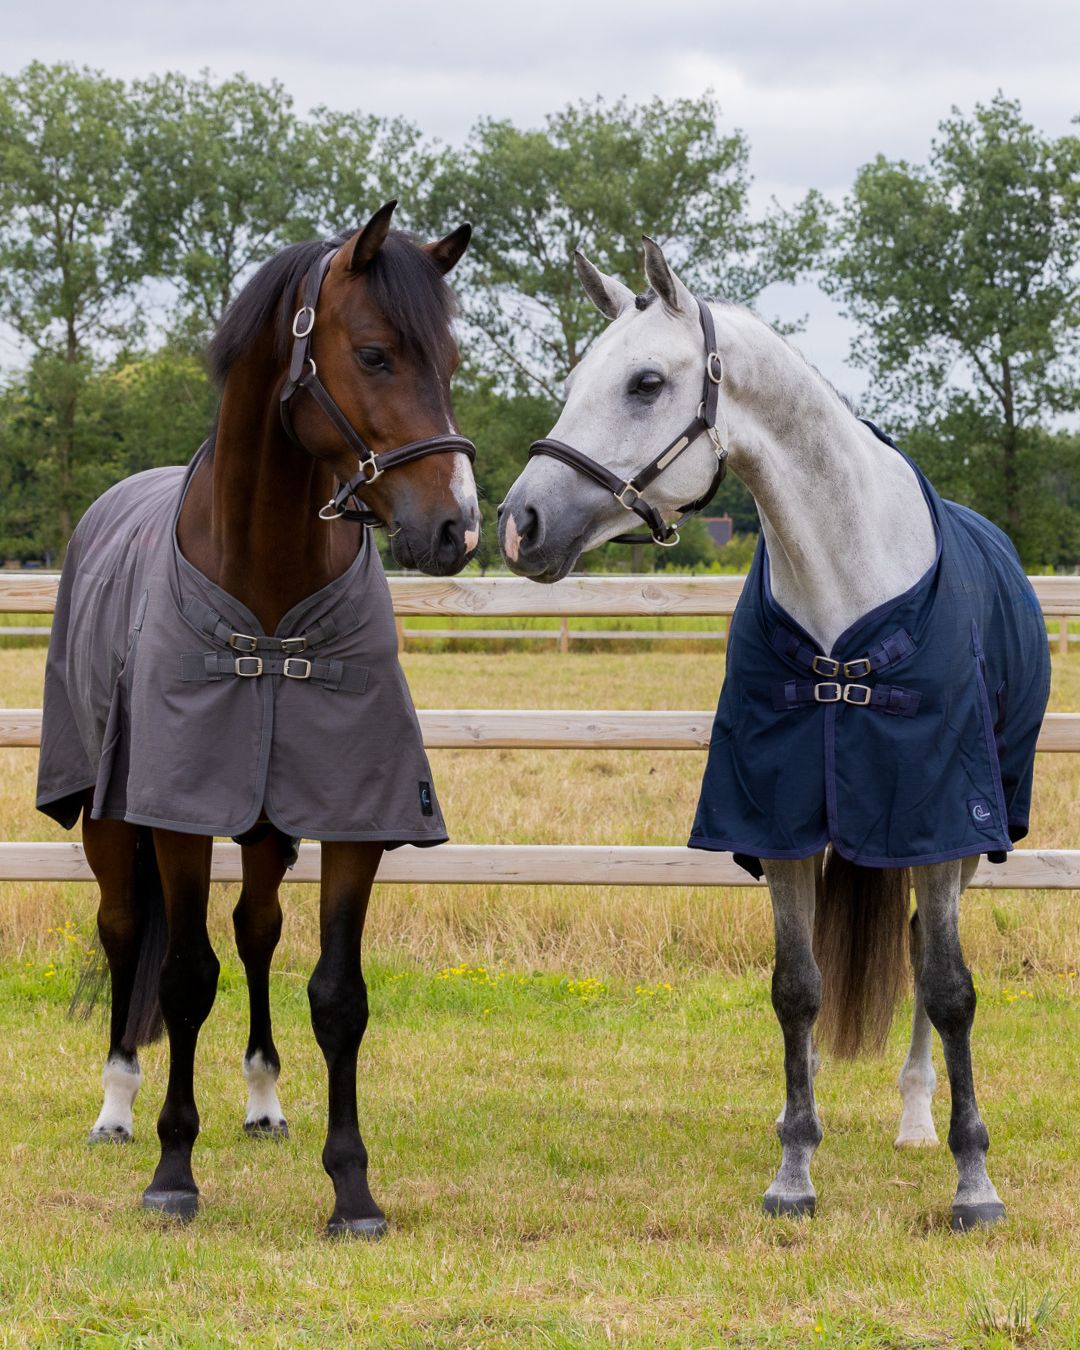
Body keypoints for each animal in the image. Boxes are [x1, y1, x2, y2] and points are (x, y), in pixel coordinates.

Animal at [36, 201, 480, 1237]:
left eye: (450, 360)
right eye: (375, 353)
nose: (457, 529)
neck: (269, 598)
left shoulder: (355, 814)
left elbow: (337, 994)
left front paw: (352, 1189)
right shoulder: (177, 815)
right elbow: (182, 979)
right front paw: (173, 1174)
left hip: (271, 827)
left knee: (258, 931)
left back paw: (264, 1100)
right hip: (110, 824)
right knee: (128, 938)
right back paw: (117, 1108)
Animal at [497, 237, 1050, 1229]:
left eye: (646, 382)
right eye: (574, 380)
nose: (521, 526)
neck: (847, 585)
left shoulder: (942, 824)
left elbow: (951, 991)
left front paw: (974, 1182)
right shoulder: (779, 823)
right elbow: (796, 991)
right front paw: (794, 1167)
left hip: (972, 841)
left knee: (924, 956)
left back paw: (920, 1119)